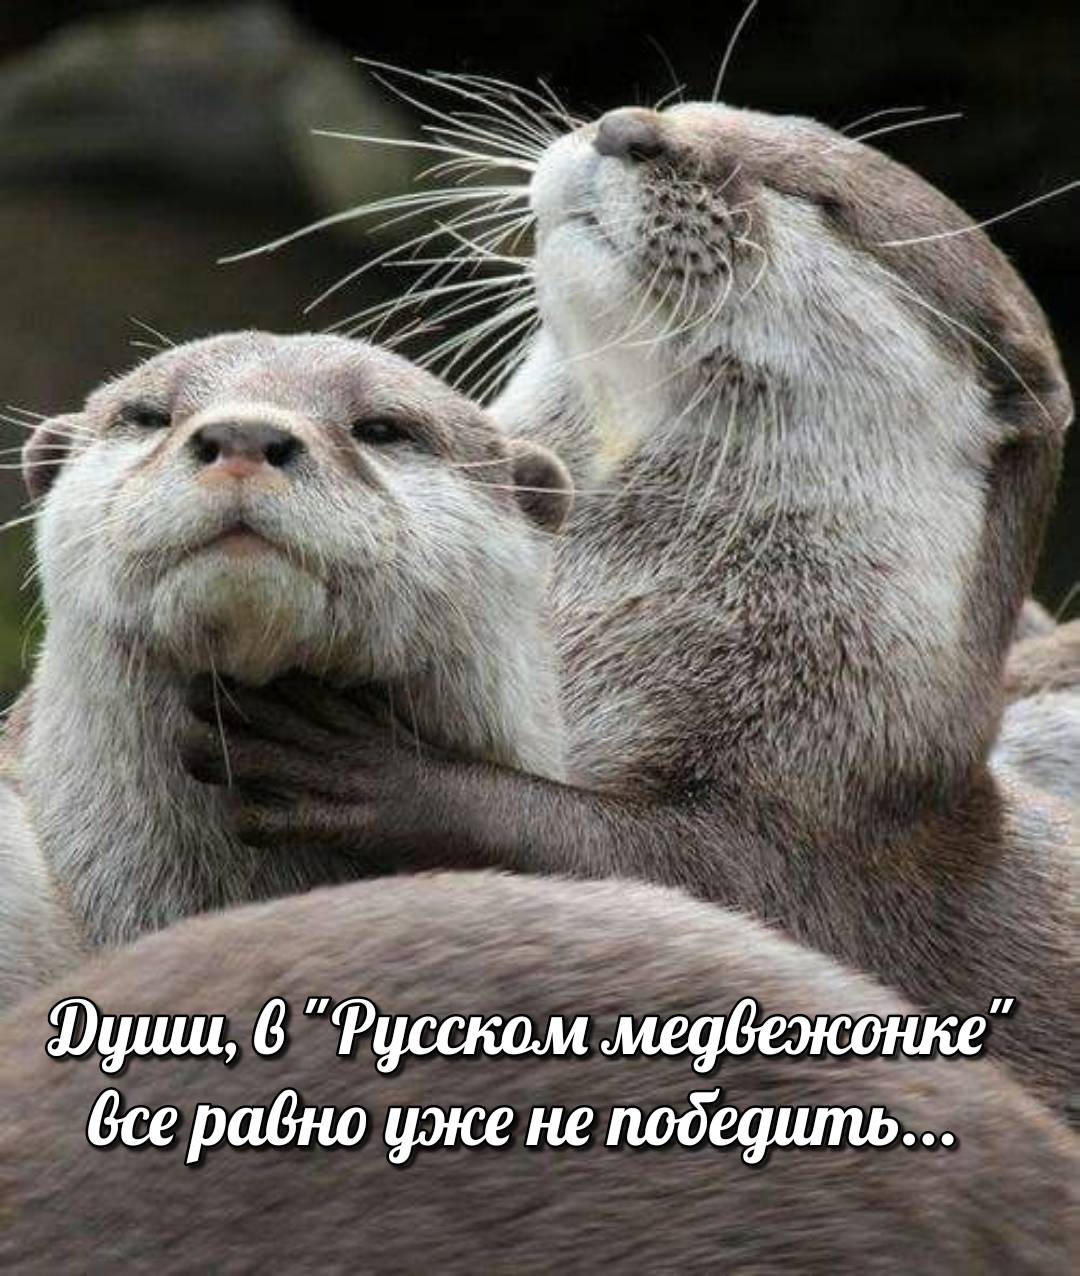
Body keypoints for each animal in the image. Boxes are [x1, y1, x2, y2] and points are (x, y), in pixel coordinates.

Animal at [189, 104, 1077, 1113]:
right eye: (689, 108)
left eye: (821, 198)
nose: (629, 128)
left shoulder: (820, 860)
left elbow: (657, 875)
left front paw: (369, 767)